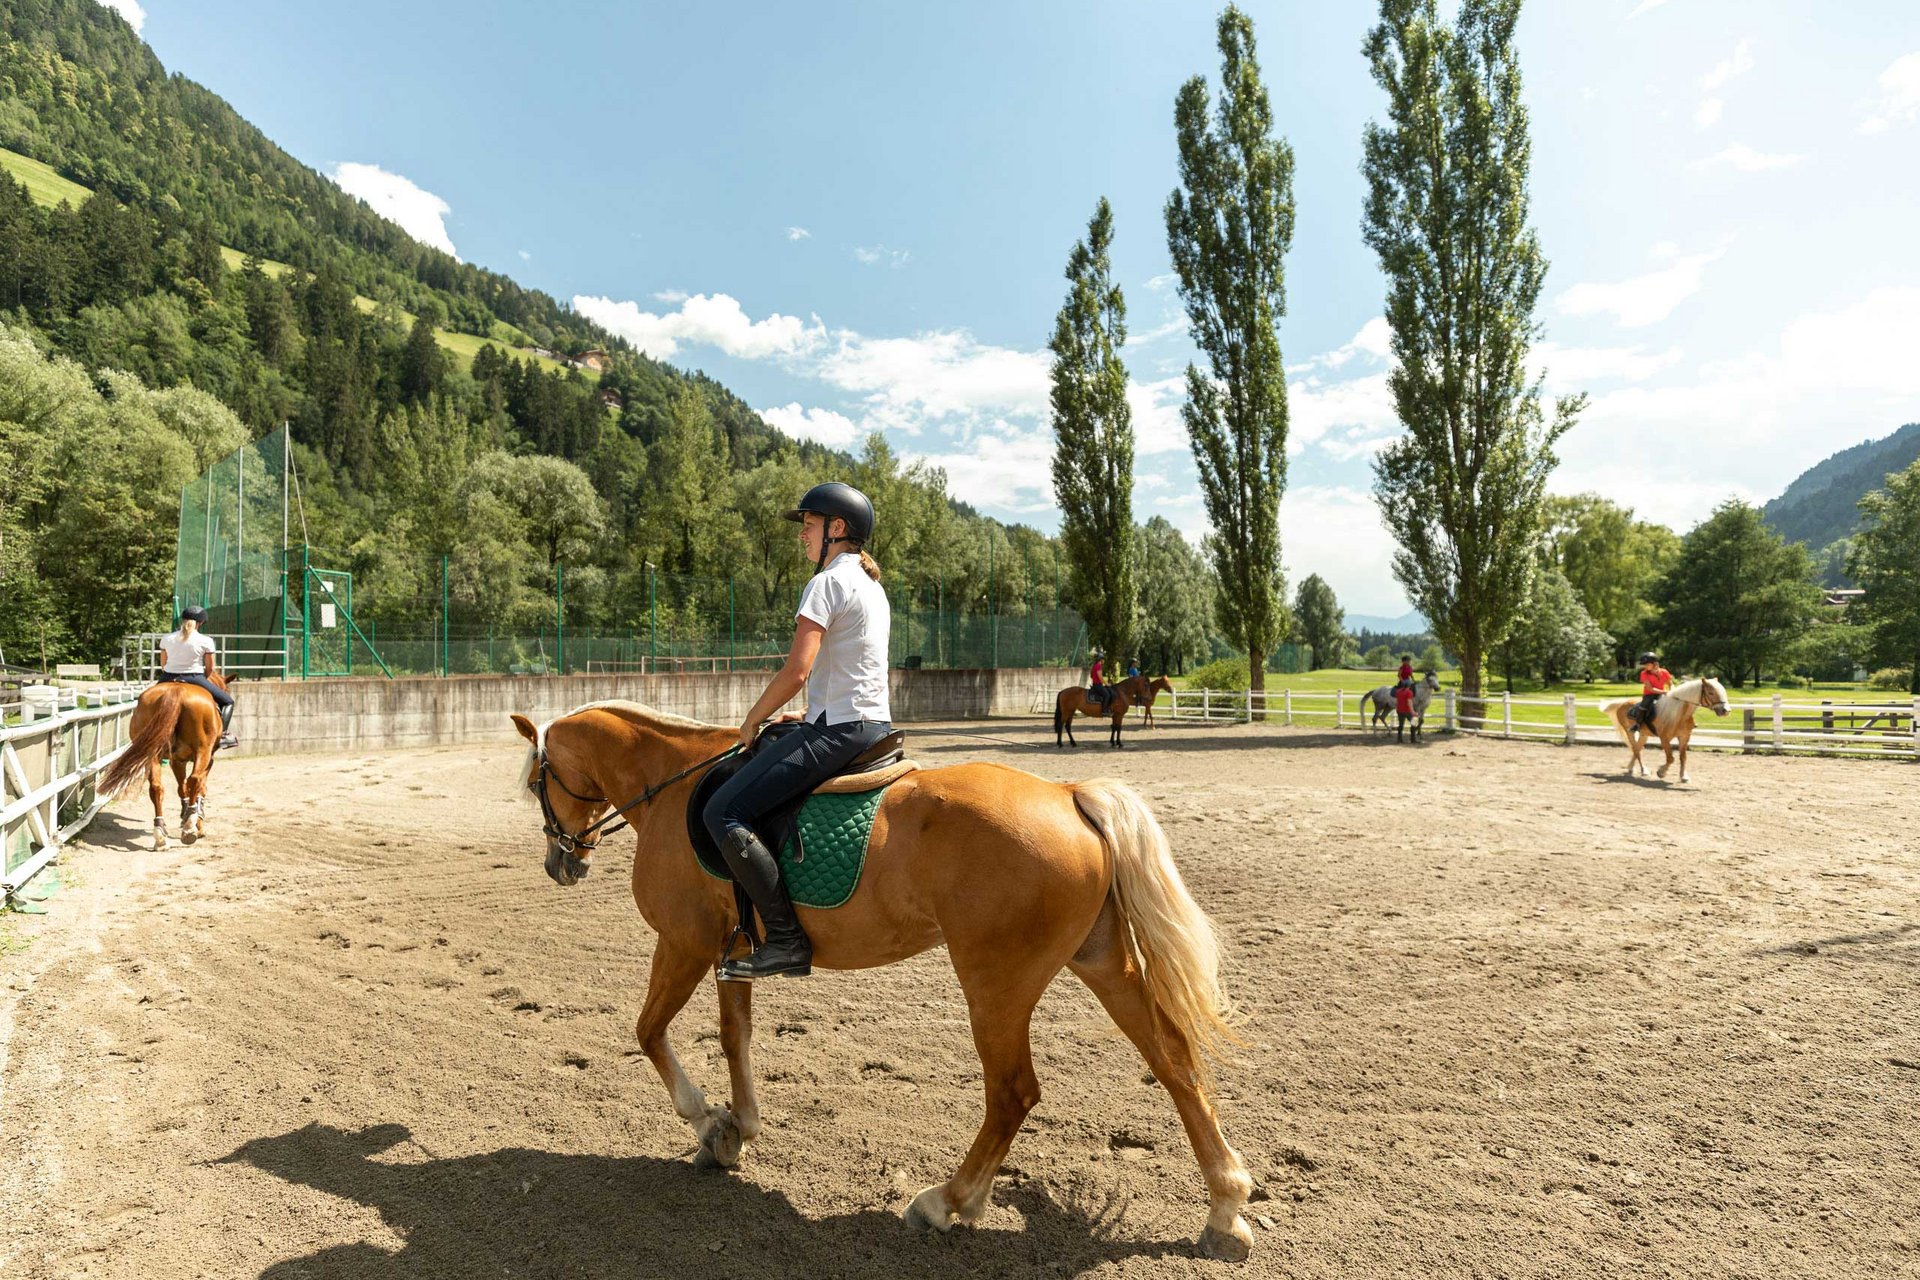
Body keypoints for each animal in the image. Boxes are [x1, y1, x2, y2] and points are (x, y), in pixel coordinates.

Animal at [97, 675, 228, 844]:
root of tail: (177, 690)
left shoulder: (177, 761)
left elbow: (181, 788)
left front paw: (185, 814)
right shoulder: (206, 760)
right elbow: (200, 788)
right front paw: (197, 822)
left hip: (152, 754)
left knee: (156, 787)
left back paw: (160, 833)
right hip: (202, 750)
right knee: (194, 780)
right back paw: (189, 827)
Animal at [510, 706, 1259, 1266]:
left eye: (536, 784)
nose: (560, 863)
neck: (669, 785)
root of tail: (1067, 796)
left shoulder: (685, 943)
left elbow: (648, 1031)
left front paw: (707, 1121)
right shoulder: (732, 951)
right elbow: (734, 1036)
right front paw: (736, 1129)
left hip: (996, 982)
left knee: (1013, 1092)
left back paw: (947, 1202)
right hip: (1100, 962)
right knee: (1173, 1060)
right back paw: (1225, 1209)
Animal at [1597, 675, 1735, 786]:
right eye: (1711, 693)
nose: (1726, 710)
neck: (1679, 714)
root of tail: (1622, 703)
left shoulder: (1684, 737)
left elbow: (1683, 757)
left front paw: (1684, 777)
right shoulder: (1664, 738)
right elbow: (1671, 758)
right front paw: (1661, 772)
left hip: (1644, 734)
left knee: (1637, 749)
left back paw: (1633, 769)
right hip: (1630, 732)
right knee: (1636, 749)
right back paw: (1643, 770)